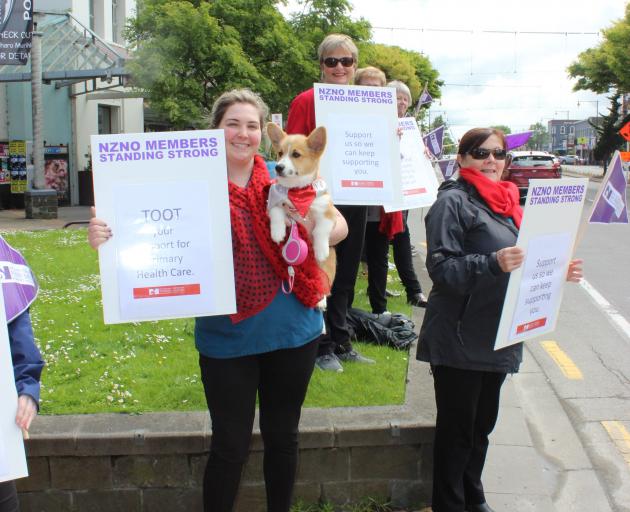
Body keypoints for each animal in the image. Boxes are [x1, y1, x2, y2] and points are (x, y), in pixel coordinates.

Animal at [266, 123, 338, 300]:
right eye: (280, 153)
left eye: (296, 154)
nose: (278, 167)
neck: (297, 191)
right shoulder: (273, 200)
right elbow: (276, 214)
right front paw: (277, 233)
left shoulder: (328, 212)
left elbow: (320, 230)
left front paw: (321, 250)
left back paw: (321, 300)